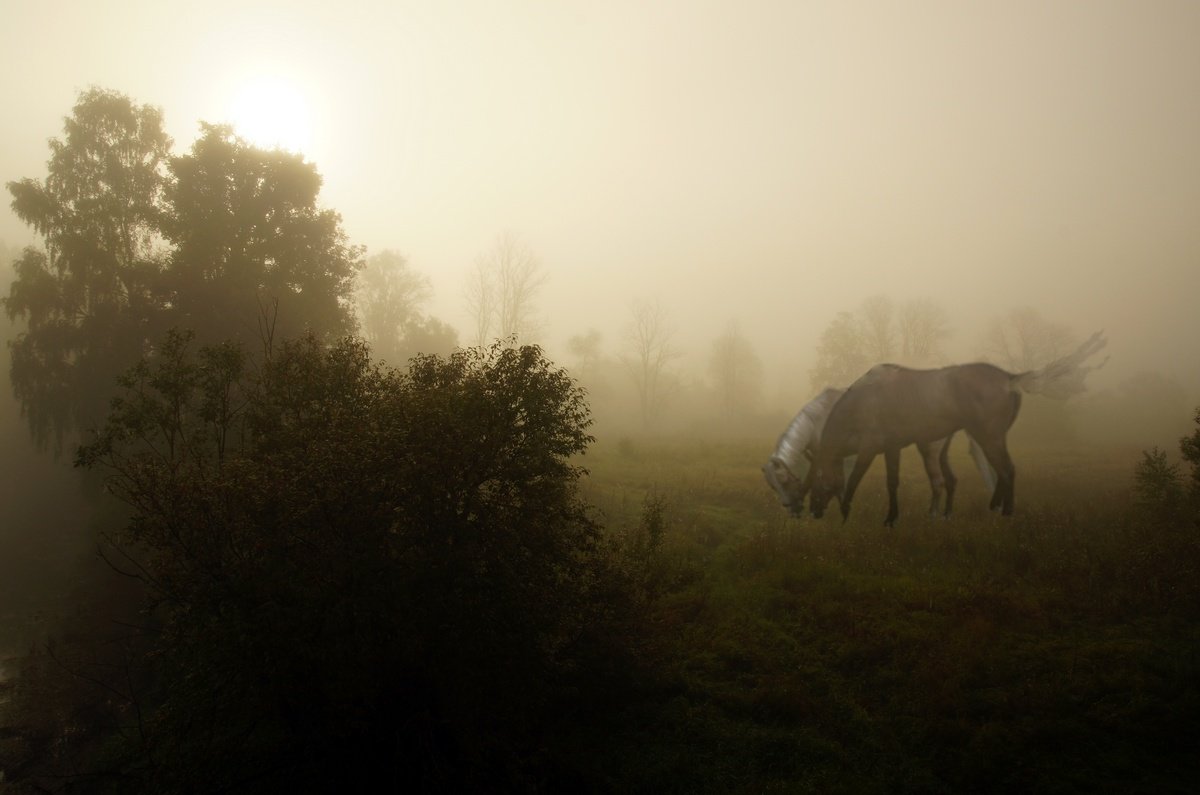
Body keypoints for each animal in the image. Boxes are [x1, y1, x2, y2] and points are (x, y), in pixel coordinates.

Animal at [763, 386, 998, 523]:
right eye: (773, 487)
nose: (792, 510)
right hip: (941, 452)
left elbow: (838, 480)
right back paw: (947, 515)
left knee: (939, 481)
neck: (818, 420)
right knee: (951, 480)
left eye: (785, 481)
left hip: (929, 448)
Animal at [806, 331, 1104, 525]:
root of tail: (1009, 378)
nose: (813, 512)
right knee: (1000, 470)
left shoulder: (870, 448)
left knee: (1007, 469)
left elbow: (857, 479)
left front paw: (848, 512)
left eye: (817, 477)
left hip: (989, 436)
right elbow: (892, 482)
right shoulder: (893, 447)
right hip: (990, 438)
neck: (862, 402)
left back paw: (1006, 512)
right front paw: (891, 517)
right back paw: (992, 507)